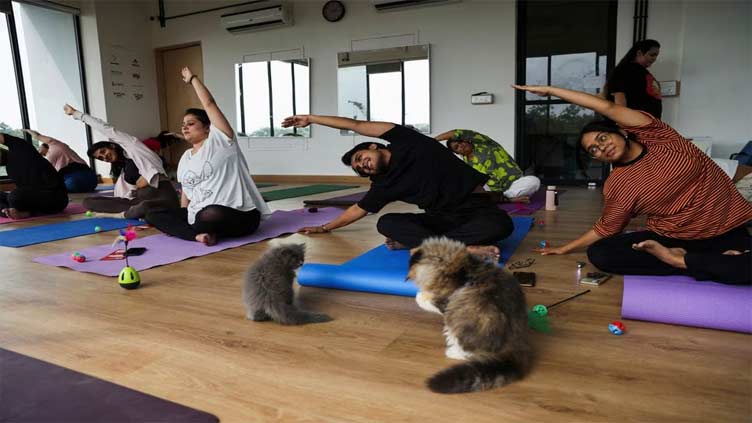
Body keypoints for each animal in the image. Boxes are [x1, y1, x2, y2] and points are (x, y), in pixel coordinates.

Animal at [408, 238, 532, 394]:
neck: (462, 268)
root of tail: (515, 345)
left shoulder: (444, 302)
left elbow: (422, 298)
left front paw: (420, 294)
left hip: (458, 319)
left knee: (467, 350)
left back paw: (452, 351)